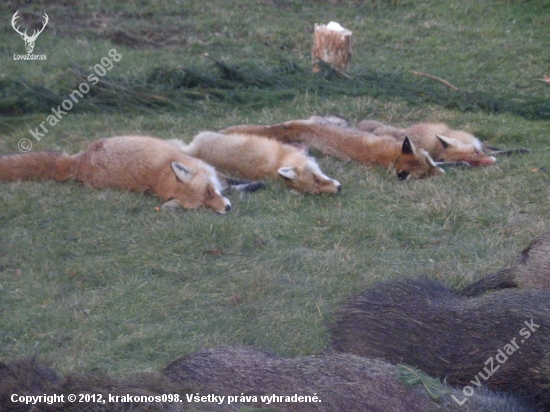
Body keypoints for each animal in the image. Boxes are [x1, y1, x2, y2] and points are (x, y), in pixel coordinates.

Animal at [0, 136, 264, 214]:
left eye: (209, 192)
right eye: (203, 206)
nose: (226, 209)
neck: (161, 175)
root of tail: (77, 163)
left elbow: (228, 182)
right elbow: (231, 184)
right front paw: (254, 186)